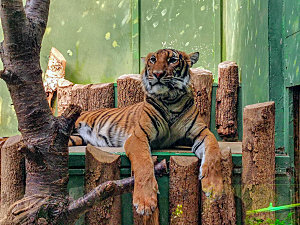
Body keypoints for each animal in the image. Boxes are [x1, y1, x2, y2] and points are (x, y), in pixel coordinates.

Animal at [69, 48, 223, 216]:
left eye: (172, 60)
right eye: (153, 60)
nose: (157, 74)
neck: (170, 100)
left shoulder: (203, 132)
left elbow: (214, 153)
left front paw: (214, 187)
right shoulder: (138, 136)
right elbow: (144, 164)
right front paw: (145, 202)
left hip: (75, 138)